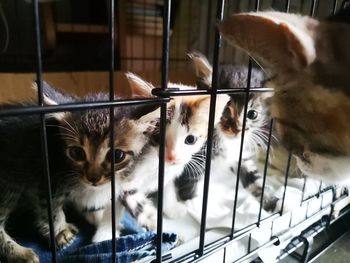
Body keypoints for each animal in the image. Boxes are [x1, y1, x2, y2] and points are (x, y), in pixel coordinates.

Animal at [0, 82, 157, 262]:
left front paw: (152, 219)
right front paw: (60, 230)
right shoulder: (48, 178)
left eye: (117, 155)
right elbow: (50, 207)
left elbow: (133, 197)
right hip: (10, 183)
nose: (93, 178)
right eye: (77, 153)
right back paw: (20, 252)